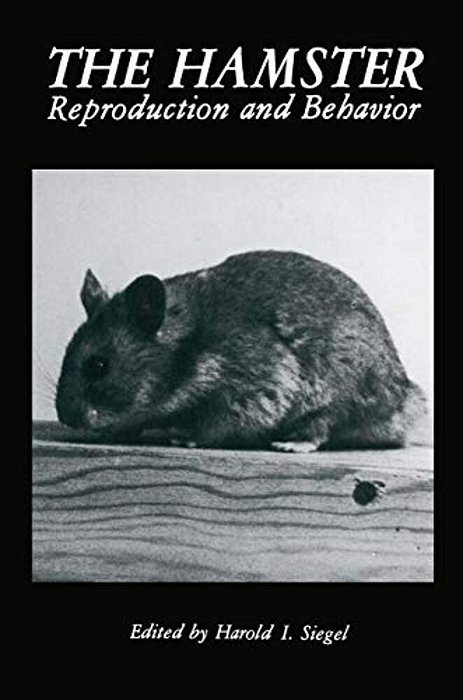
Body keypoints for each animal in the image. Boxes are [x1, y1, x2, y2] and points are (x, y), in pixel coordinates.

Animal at [55, 250, 427, 451]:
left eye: (98, 366)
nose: (65, 419)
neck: (188, 349)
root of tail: (404, 399)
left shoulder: (253, 391)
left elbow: (215, 428)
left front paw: (185, 439)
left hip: (336, 393)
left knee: (322, 428)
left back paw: (290, 443)